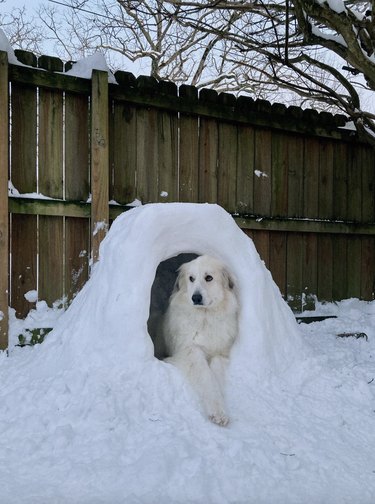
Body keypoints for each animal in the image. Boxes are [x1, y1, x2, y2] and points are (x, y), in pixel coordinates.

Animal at [161, 256, 238, 426]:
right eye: (191, 278)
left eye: (208, 278)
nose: (195, 298)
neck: (205, 317)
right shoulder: (191, 352)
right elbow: (207, 378)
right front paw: (217, 411)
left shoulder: (221, 353)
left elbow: (215, 370)